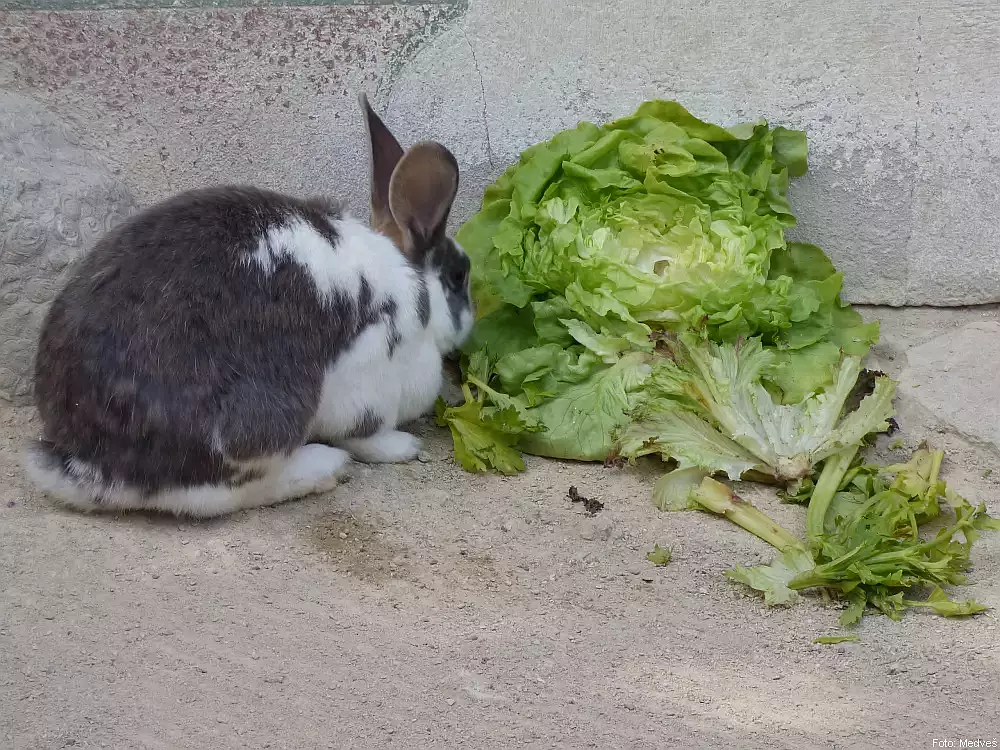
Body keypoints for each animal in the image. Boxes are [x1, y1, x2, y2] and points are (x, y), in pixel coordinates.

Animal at [24, 92, 476, 516]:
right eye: (459, 276)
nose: (472, 320)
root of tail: (93, 465)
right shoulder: (370, 384)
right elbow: (369, 437)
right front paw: (405, 446)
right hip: (260, 423)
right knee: (215, 494)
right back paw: (323, 468)